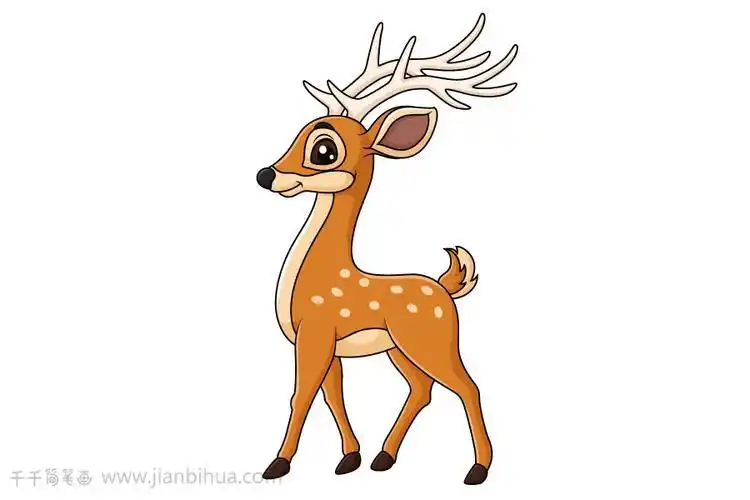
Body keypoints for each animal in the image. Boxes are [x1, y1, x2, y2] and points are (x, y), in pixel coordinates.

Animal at [255, 13, 517, 485]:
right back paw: (383, 457)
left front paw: (277, 464)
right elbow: (332, 396)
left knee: (466, 385)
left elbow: (301, 396)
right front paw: (349, 458)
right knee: (422, 389)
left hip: (433, 341)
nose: (266, 175)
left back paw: (478, 470)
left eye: (324, 149)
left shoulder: (316, 333)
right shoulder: (328, 345)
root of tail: (445, 288)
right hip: (399, 348)